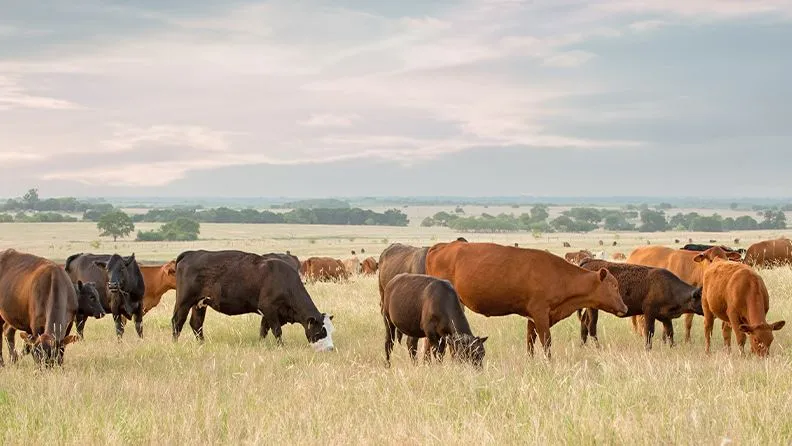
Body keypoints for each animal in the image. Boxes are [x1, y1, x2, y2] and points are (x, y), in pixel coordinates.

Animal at [172, 249, 336, 350]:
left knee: (196, 324)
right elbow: (277, 331)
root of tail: (192, 253)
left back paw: (202, 344)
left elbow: (263, 330)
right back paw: (175, 344)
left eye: (330, 331)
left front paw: (261, 345)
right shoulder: (269, 308)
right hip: (184, 301)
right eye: (320, 332)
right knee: (177, 322)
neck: (283, 279)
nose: (330, 349)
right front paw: (281, 347)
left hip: (200, 304)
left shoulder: (270, 314)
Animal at [424, 242, 628, 358]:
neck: (559, 275)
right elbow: (546, 342)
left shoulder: (532, 318)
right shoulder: (541, 315)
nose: (625, 308)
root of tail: (439, 247)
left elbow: (530, 342)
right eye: (614, 286)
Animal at [576, 260, 704, 350]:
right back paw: (597, 347)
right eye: (702, 299)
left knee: (584, 322)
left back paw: (582, 345)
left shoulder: (665, 317)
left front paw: (673, 347)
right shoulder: (649, 313)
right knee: (591, 325)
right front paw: (648, 349)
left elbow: (670, 333)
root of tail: (588, 262)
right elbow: (649, 332)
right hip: (593, 308)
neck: (669, 287)